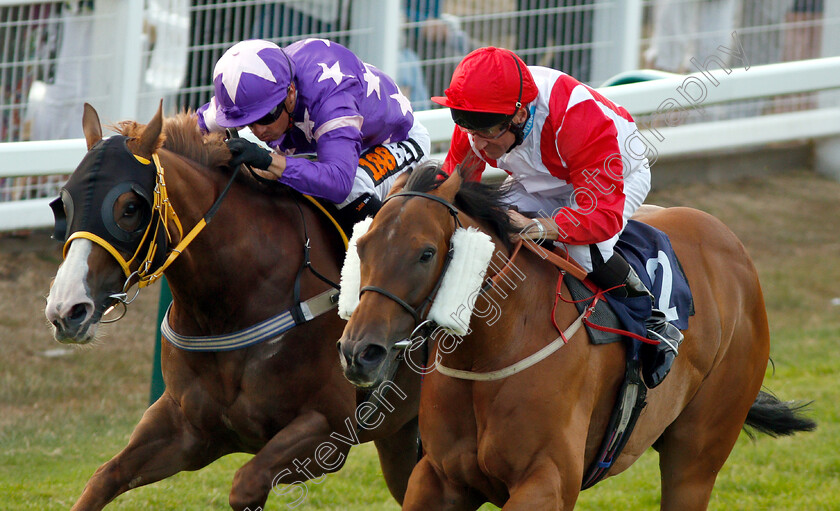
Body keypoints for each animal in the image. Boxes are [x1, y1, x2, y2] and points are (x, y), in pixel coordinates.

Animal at [41, 102, 420, 510]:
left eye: (128, 208)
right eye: (63, 204)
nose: (66, 310)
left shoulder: (330, 426)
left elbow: (245, 484)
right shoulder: (186, 429)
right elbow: (103, 477)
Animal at [334, 164, 812, 511]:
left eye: (426, 253)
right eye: (362, 246)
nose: (360, 352)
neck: (491, 351)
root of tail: (731, 245)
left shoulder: (547, 482)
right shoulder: (438, 476)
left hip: (697, 454)